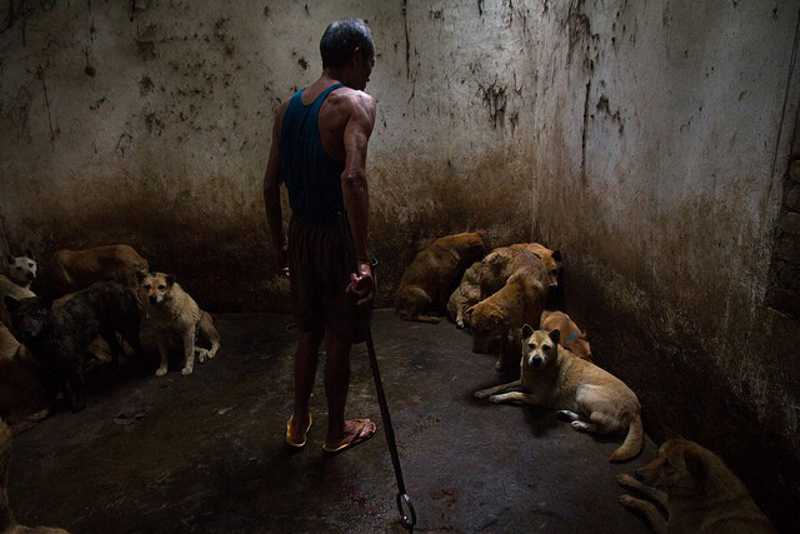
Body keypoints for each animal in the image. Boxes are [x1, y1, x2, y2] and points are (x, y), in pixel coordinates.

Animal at [3, 282, 141, 412]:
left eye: (37, 314)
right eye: (20, 317)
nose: (27, 332)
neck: (45, 342)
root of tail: (119, 285)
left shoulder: (73, 362)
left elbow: (76, 384)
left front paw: (79, 405)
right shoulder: (55, 368)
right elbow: (65, 389)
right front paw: (69, 405)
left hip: (126, 328)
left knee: (136, 345)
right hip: (107, 331)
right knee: (115, 347)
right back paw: (116, 366)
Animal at [476, 326, 644, 464]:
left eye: (546, 348)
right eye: (531, 346)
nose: (536, 360)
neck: (539, 369)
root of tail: (636, 409)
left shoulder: (539, 399)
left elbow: (514, 393)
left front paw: (499, 398)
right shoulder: (523, 382)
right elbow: (502, 385)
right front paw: (482, 392)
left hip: (583, 390)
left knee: (603, 427)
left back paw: (582, 425)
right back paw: (568, 415)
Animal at [616, 440, 780, 534]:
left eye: (668, 464)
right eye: (658, 455)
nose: (638, 473)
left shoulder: (670, 530)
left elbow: (651, 507)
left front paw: (630, 500)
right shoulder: (674, 502)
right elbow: (654, 491)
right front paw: (629, 480)